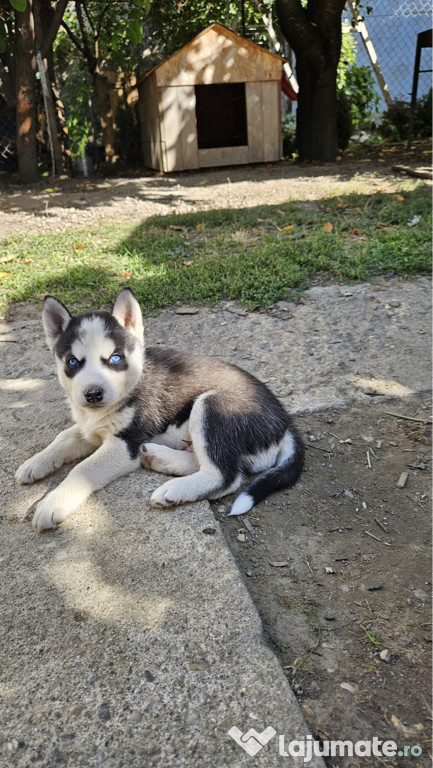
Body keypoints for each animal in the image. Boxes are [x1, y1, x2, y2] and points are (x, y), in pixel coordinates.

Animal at [15, 288, 302, 528]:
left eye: (115, 358)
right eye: (73, 362)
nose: (93, 394)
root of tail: (285, 422)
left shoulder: (125, 444)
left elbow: (82, 469)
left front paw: (53, 503)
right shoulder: (91, 429)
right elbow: (64, 436)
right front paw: (35, 463)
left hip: (212, 406)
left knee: (226, 476)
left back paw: (175, 489)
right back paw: (160, 457)